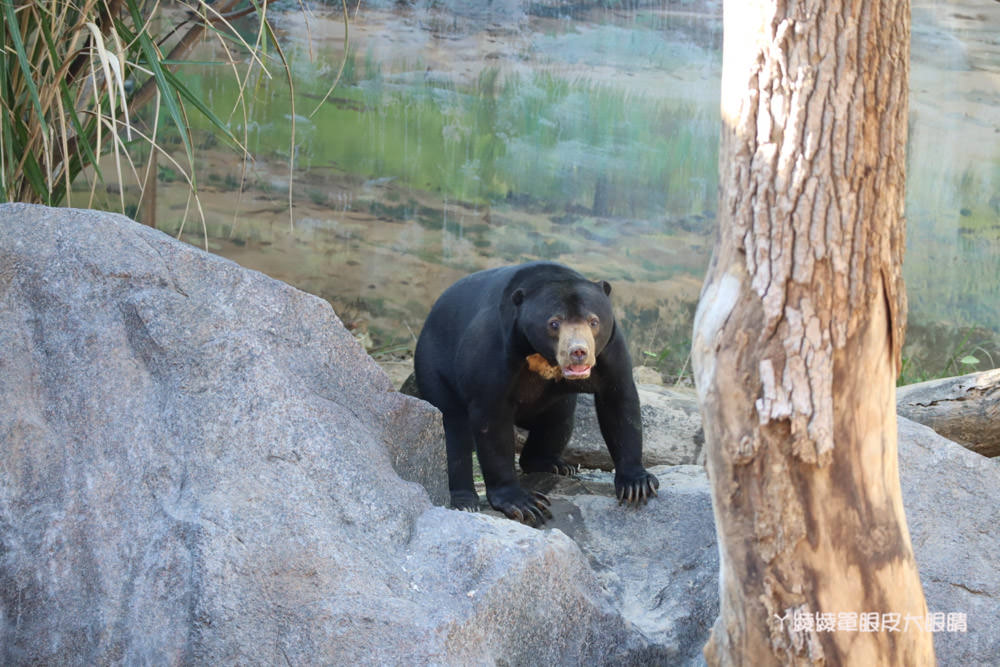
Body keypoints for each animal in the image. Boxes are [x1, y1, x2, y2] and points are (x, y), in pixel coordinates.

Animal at [412, 260, 656, 528]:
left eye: (594, 321)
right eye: (554, 323)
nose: (579, 352)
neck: (541, 354)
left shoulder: (609, 351)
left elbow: (619, 402)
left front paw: (637, 485)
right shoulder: (494, 349)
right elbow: (490, 419)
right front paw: (524, 503)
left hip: (558, 401)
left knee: (559, 419)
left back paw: (554, 465)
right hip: (434, 368)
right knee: (453, 430)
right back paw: (464, 500)